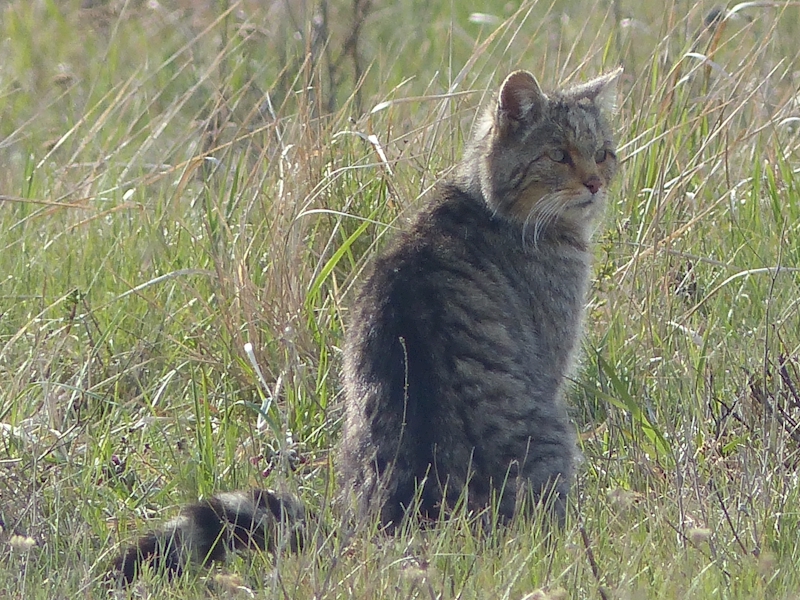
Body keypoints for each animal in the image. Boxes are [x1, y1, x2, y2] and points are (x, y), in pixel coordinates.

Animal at [110, 66, 622, 584]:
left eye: (603, 152)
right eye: (559, 155)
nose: (595, 183)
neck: (490, 205)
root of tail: (394, 530)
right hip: (553, 436)